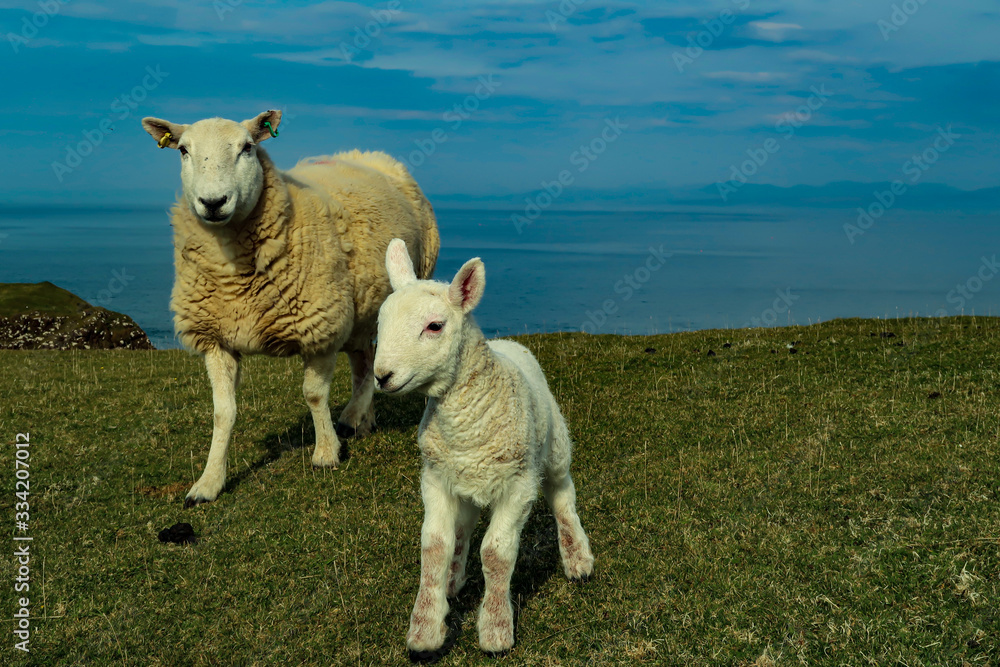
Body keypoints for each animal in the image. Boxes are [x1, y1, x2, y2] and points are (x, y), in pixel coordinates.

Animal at [140, 110, 439, 507]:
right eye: (183, 150)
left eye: (248, 147)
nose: (213, 202)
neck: (236, 277)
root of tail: (368, 155)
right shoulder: (216, 338)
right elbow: (223, 413)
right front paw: (209, 481)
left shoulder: (322, 326)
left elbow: (314, 395)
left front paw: (326, 453)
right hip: (360, 309)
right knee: (364, 360)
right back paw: (362, 418)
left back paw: (352, 417)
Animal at [374, 238, 594, 656]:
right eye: (379, 326)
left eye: (434, 326)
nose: (382, 376)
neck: (465, 426)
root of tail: (505, 342)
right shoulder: (435, 479)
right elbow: (435, 547)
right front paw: (426, 629)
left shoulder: (519, 485)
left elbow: (496, 552)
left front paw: (495, 630)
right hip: (465, 482)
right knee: (465, 524)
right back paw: (454, 580)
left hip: (555, 445)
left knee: (562, 494)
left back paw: (578, 558)